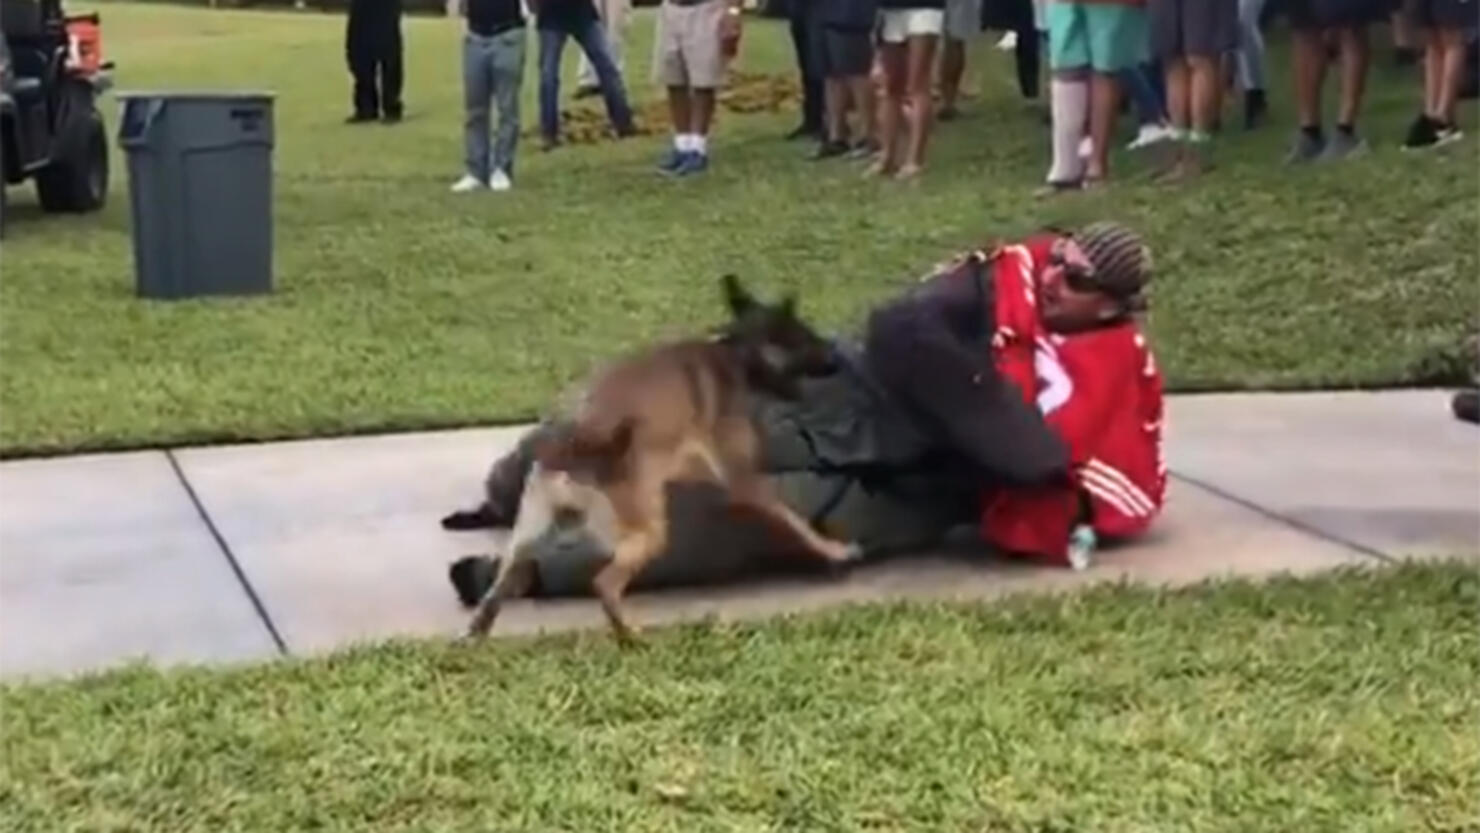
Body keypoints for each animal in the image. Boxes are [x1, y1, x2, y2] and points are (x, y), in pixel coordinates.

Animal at [467, 275, 864, 645]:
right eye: (807, 337)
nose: (837, 358)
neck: (735, 355)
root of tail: (572, 450)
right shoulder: (743, 480)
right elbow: (795, 519)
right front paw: (835, 550)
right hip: (645, 532)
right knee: (605, 583)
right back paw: (630, 637)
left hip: (530, 531)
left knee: (500, 587)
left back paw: (479, 630)